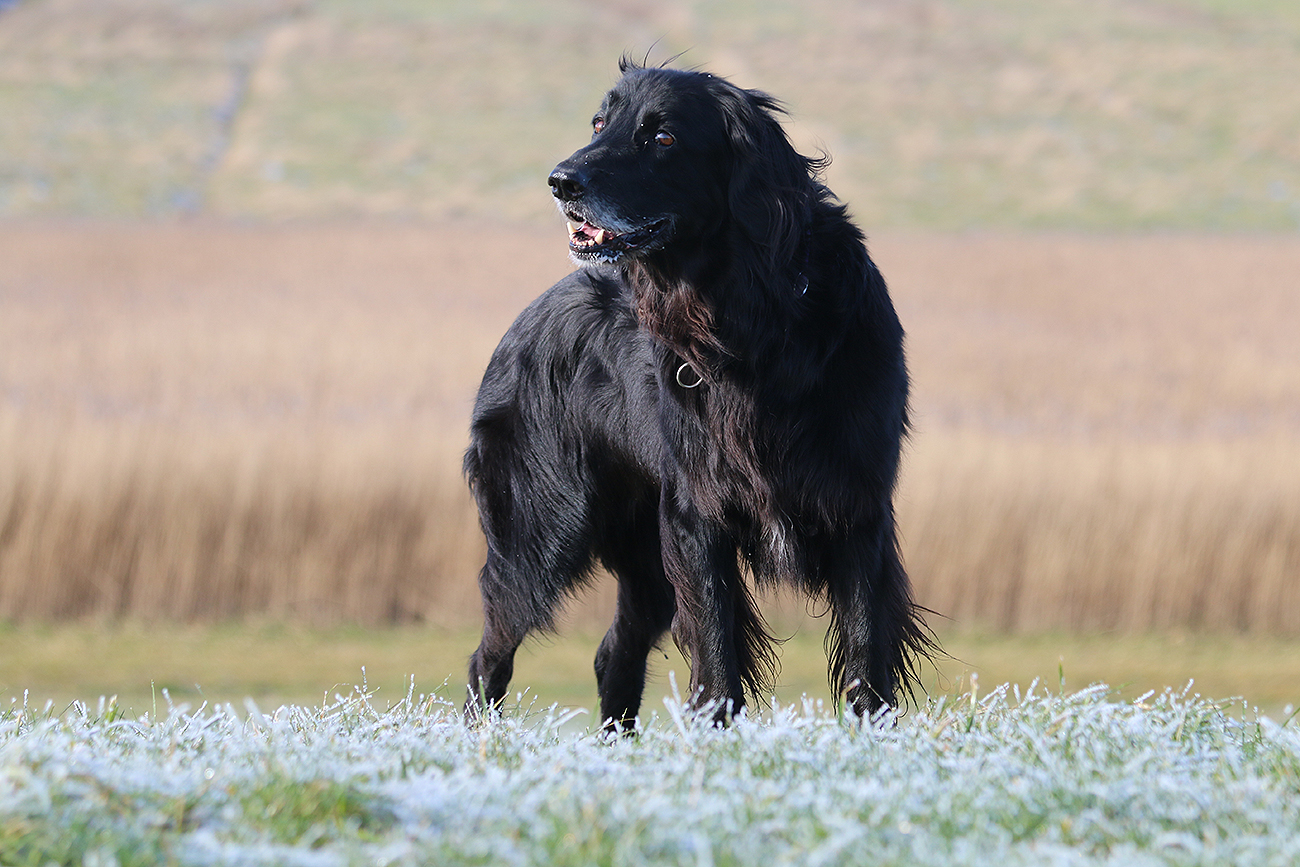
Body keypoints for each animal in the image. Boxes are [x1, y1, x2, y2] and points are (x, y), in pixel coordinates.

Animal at [465, 58, 934, 728]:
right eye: (600, 123)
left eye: (662, 138)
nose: (560, 181)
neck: (752, 323)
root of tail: (520, 324)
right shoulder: (696, 512)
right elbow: (715, 648)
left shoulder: (858, 506)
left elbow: (866, 645)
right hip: (541, 531)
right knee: (490, 653)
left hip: (637, 554)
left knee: (613, 651)